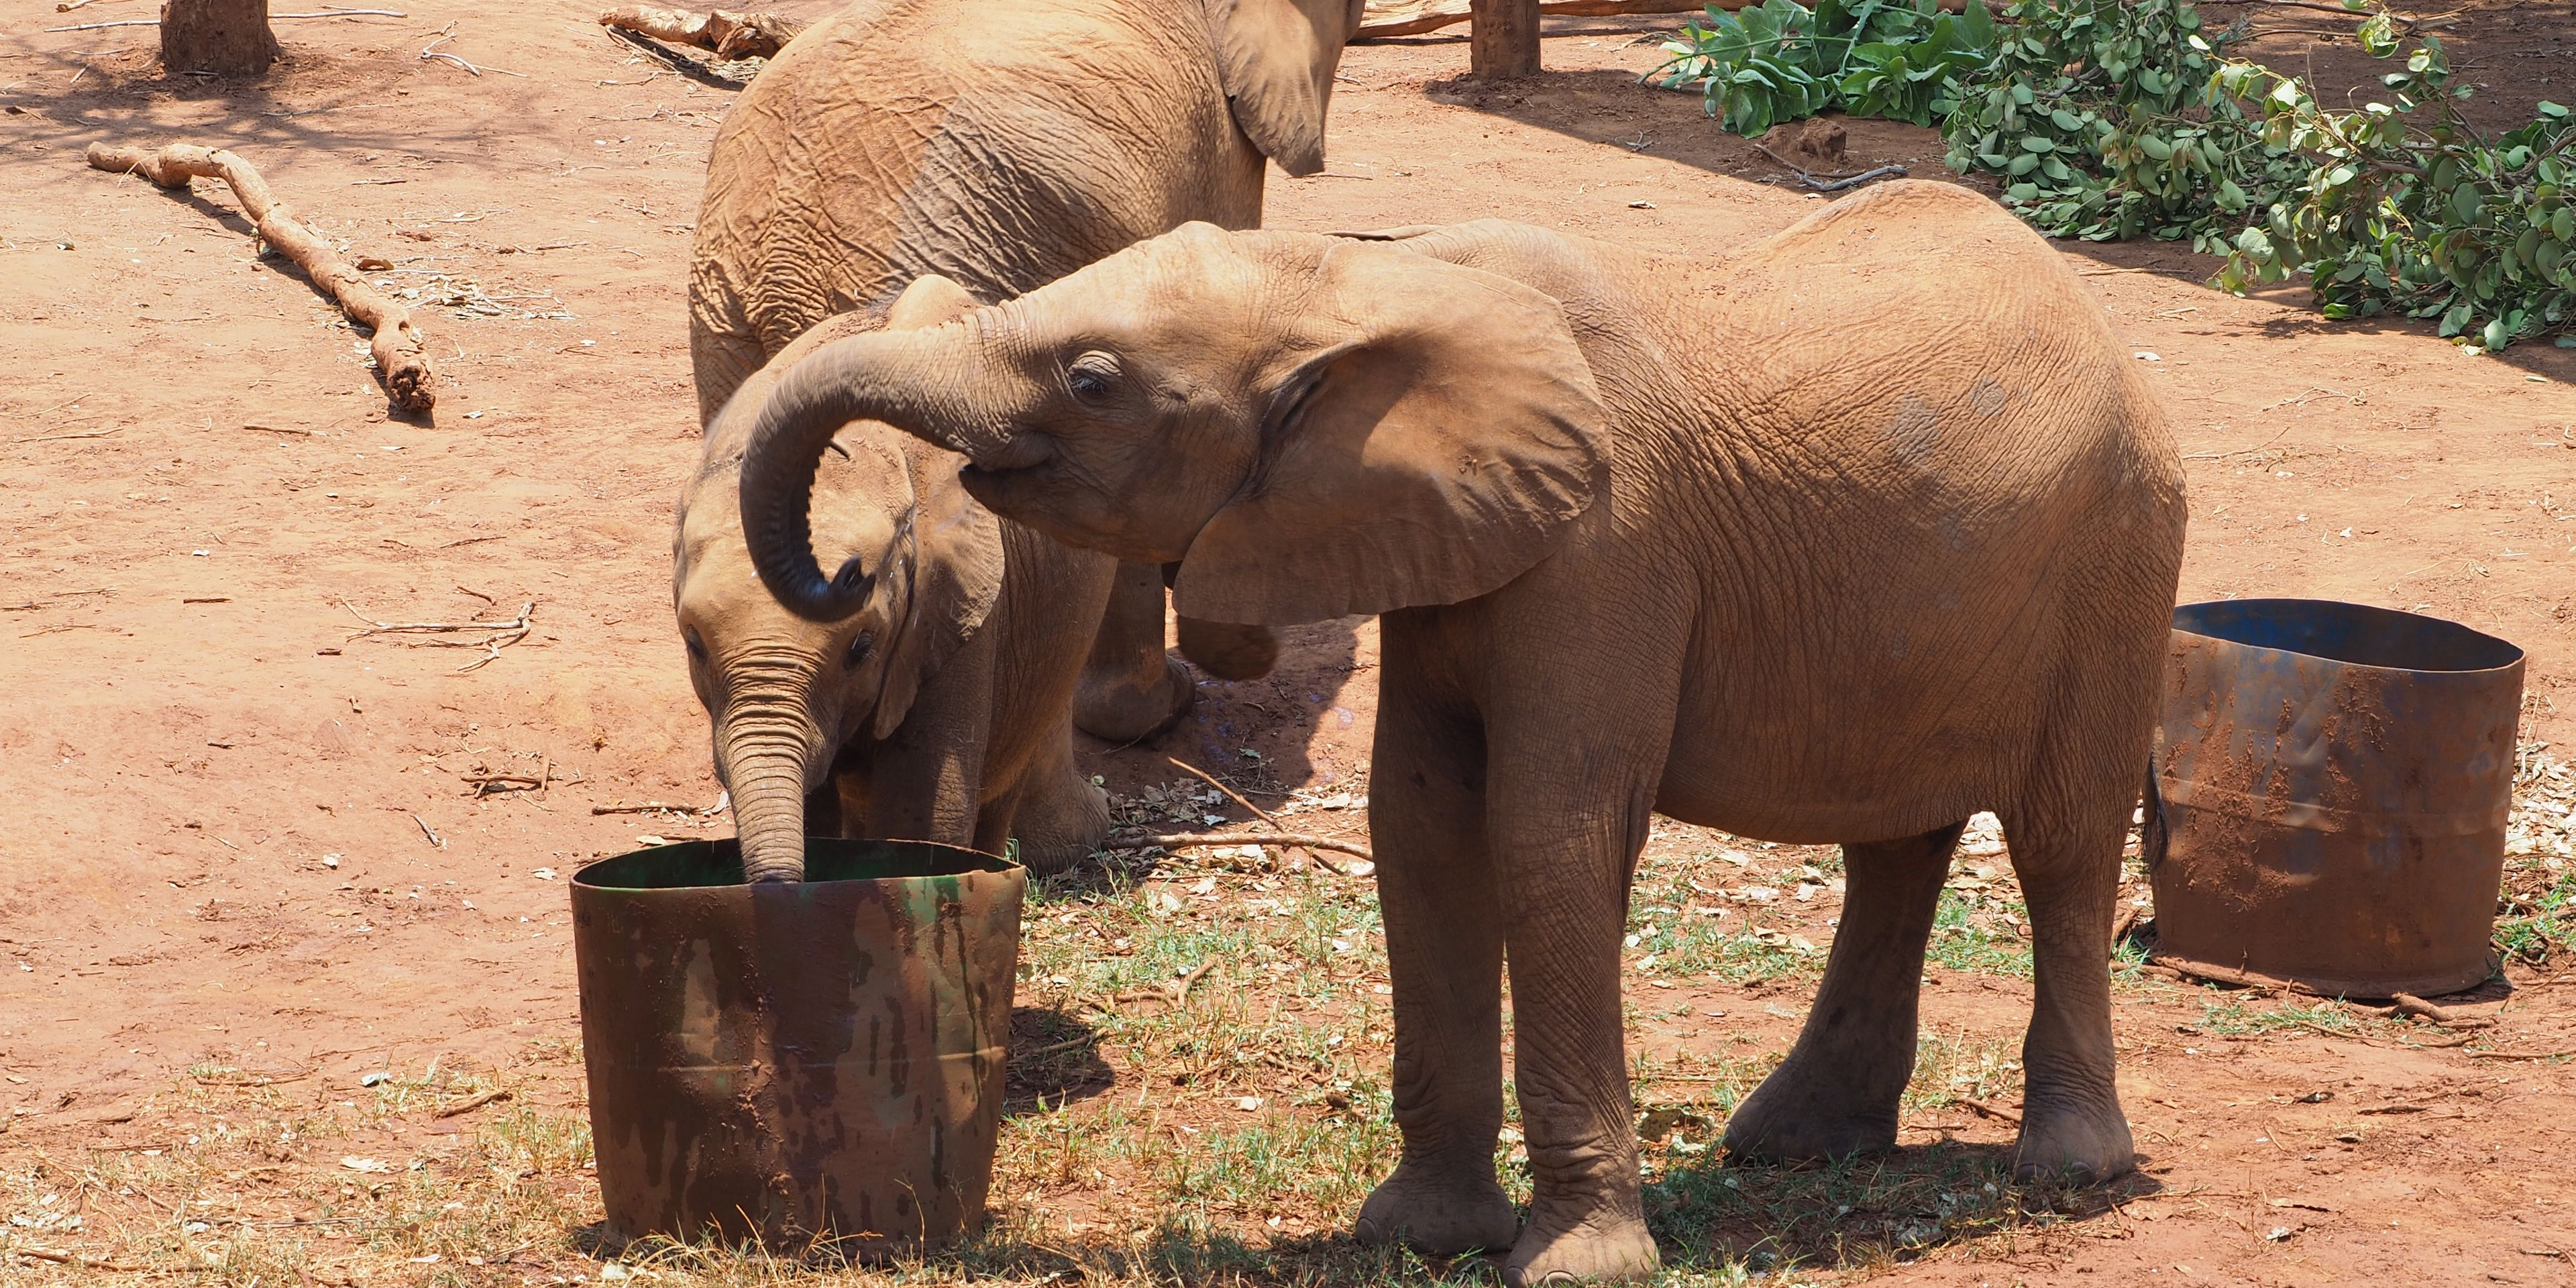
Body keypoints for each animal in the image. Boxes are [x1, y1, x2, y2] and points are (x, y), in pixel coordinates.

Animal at [729, 181, 2188, 1283]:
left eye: (1092, 381)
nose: (845, 578)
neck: (1370, 283)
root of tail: (2091, 314)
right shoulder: (1443, 540)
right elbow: (1423, 827)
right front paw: (1422, 1238)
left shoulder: (1610, 545)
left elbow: (1548, 836)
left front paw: (1577, 1264)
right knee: (1898, 844)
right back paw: (1793, 1144)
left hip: (2120, 553)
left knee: (2060, 844)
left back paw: (2066, 1168)